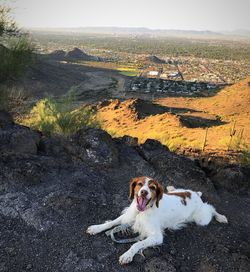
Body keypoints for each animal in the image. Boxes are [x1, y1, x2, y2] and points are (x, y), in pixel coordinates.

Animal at [86, 176, 229, 264]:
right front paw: (96, 228)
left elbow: (136, 244)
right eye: (139, 184)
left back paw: (221, 217)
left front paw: (127, 255)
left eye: (152, 187)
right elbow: (111, 222)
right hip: (182, 192)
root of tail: (194, 195)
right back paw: (171, 188)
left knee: (210, 208)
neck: (142, 211)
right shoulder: (128, 216)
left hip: (201, 218)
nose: (144, 192)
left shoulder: (156, 236)